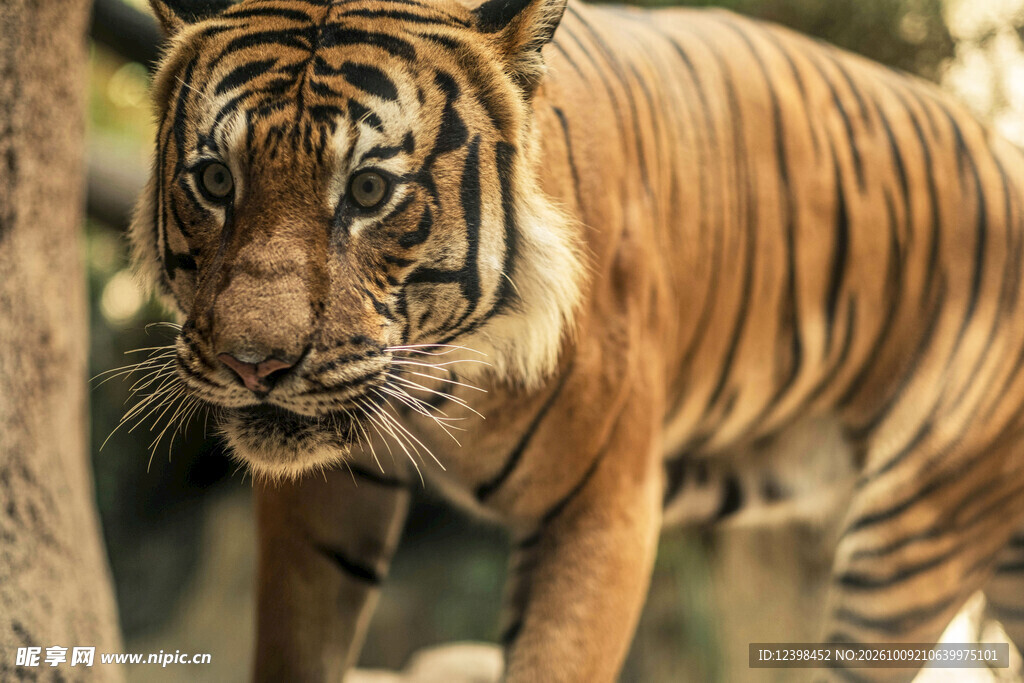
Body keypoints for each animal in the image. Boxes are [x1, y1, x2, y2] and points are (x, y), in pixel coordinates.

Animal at [131, 0, 1024, 679]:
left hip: (912, 538)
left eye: (370, 189)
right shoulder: (321, 494)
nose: (255, 365)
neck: (440, 383)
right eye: (215, 179)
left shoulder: (603, 509)